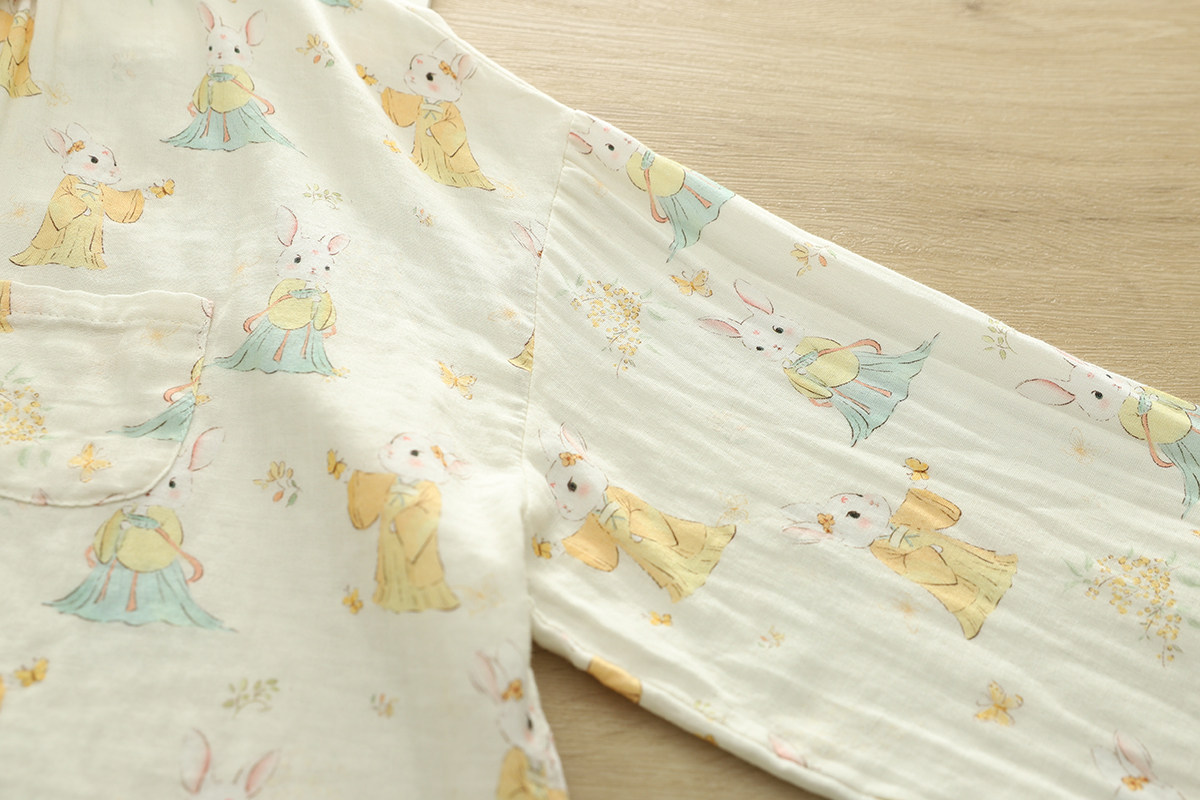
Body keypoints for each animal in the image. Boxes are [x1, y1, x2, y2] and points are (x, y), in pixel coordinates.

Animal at [9, 124, 162, 270]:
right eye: (94, 160)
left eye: (115, 163)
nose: (115, 173)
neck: (87, 181)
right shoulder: (64, 186)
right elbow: (61, 200)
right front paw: (85, 207)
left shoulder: (105, 190)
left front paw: (149, 192)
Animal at [357, 40, 495, 190]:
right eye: (411, 67)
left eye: (430, 77)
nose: (410, 75)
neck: (433, 102)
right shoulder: (417, 103)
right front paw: (378, 85)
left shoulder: (453, 112)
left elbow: (453, 125)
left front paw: (430, 130)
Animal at [538, 423, 735, 602]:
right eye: (555, 496)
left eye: (572, 485)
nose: (563, 506)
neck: (600, 506)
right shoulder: (595, 525)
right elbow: (604, 554)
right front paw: (554, 547)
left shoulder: (627, 499)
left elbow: (647, 521)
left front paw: (636, 535)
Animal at [699, 279, 937, 446]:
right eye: (759, 348)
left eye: (779, 329)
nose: (776, 347)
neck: (793, 353)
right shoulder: (792, 373)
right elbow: (804, 382)